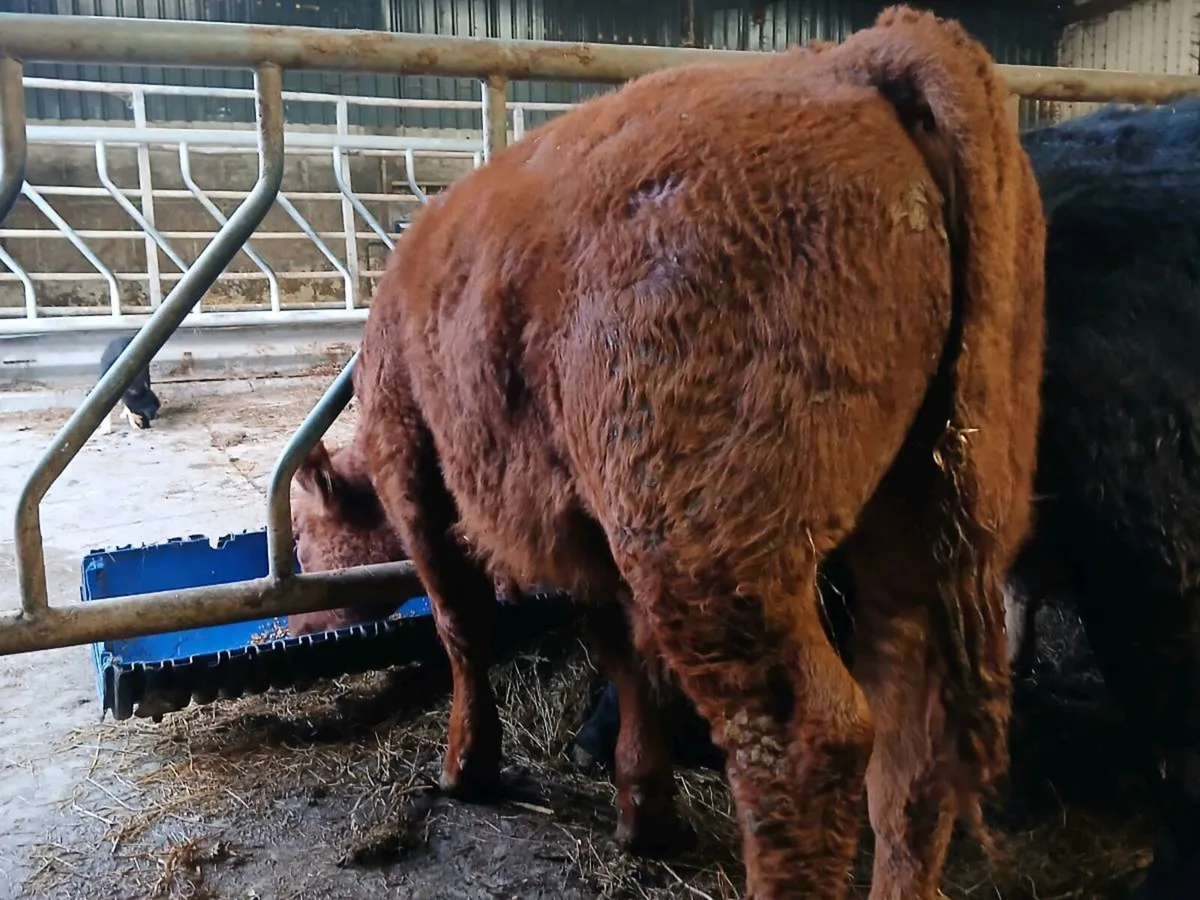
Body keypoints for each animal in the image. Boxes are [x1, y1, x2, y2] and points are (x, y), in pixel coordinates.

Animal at [291, 7, 1046, 898]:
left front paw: (467, 767)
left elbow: (462, 625)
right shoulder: (589, 520)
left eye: (303, 537)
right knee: (912, 741)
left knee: (803, 739)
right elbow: (622, 651)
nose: (291, 626)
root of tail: (852, 60)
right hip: (919, 518)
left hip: (708, 544)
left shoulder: (416, 469)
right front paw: (642, 807)